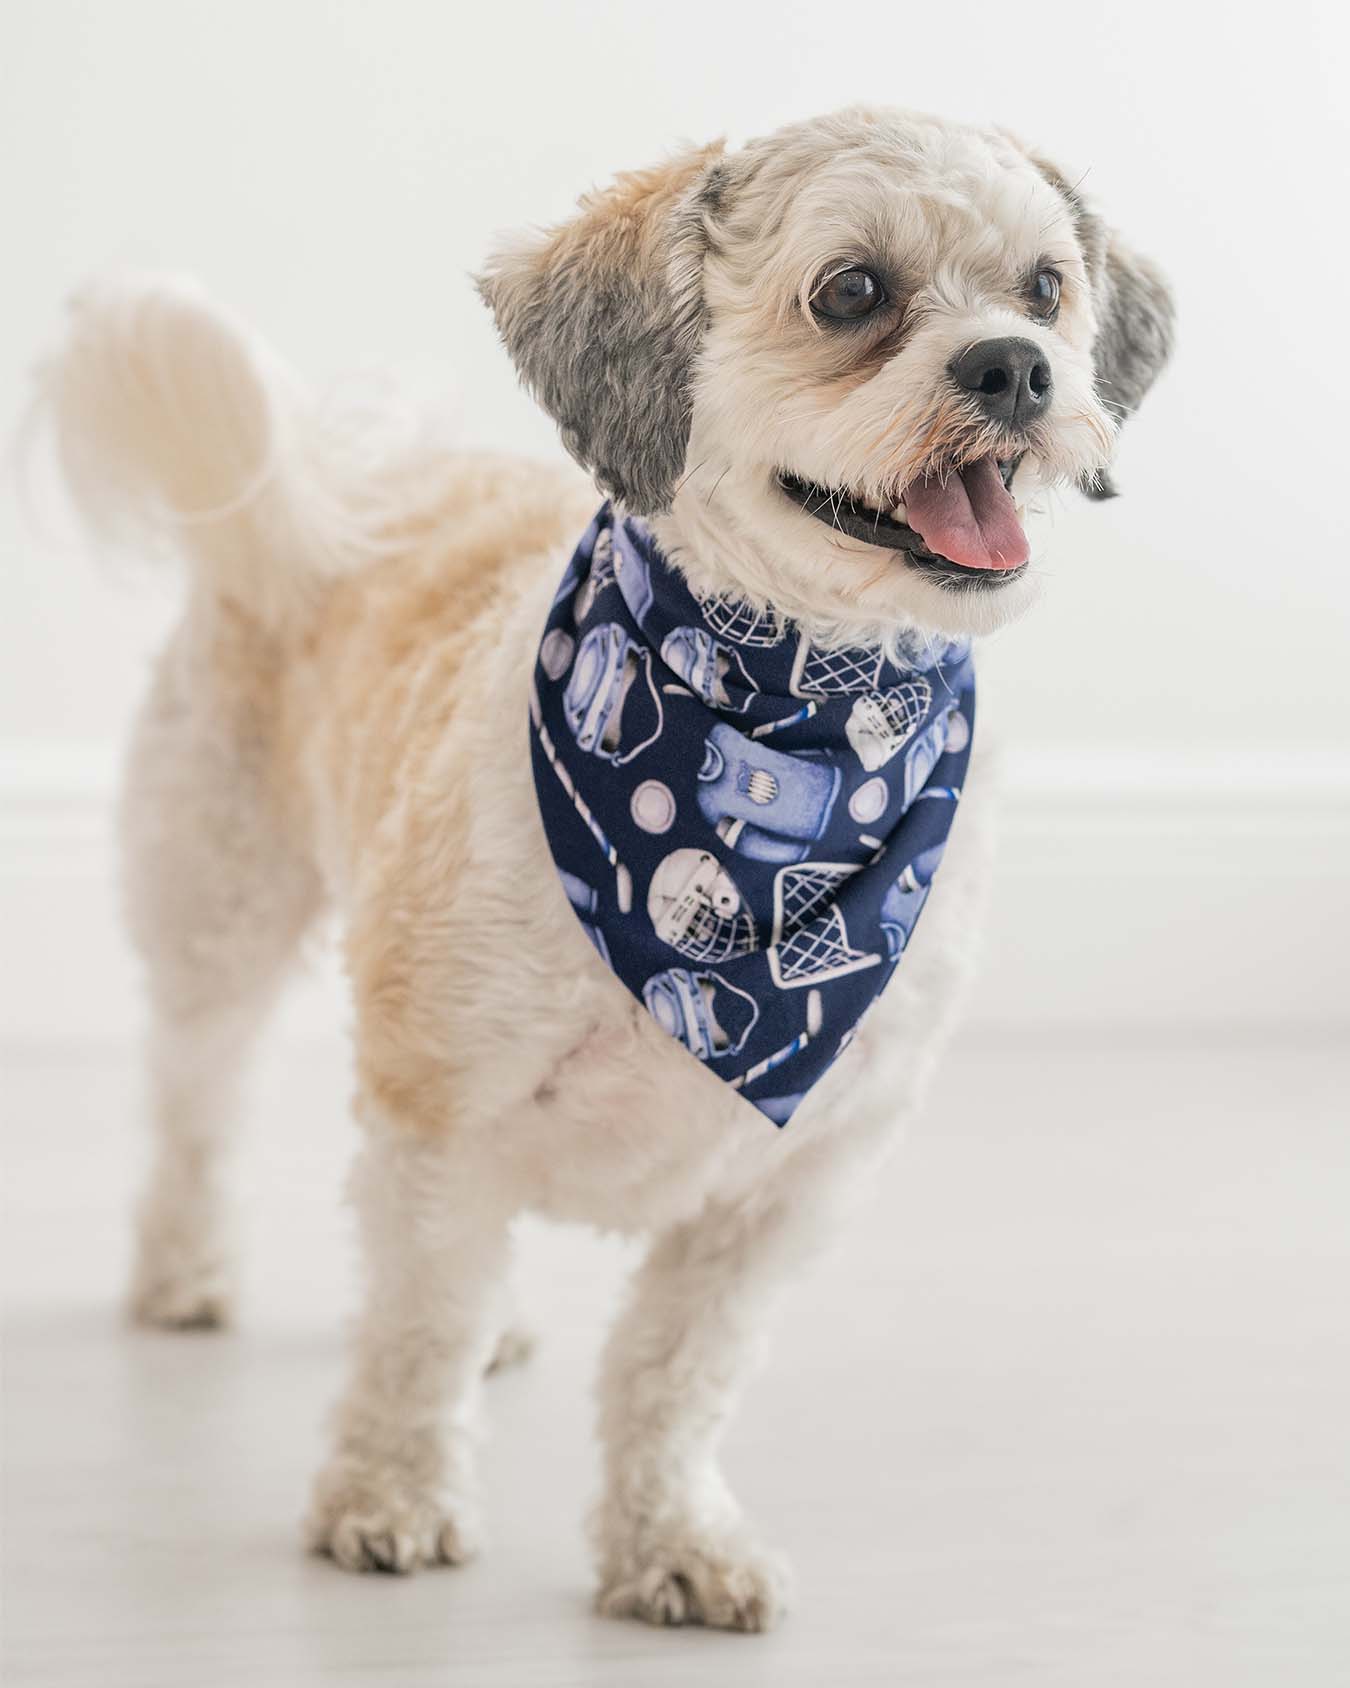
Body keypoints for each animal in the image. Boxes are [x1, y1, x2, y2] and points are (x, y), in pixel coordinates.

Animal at [47, 108, 1167, 1633]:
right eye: (851, 293)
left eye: (1047, 288)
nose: (1013, 365)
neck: (783, 717)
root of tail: (352, 487)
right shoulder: (440, 1096)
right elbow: (417, 1330)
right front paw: (390, 1495)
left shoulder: (785, 1184)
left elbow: (672, 1372)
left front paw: (670, 1538)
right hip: (215, 899)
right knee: (195, 1099)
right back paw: (186, 1271)